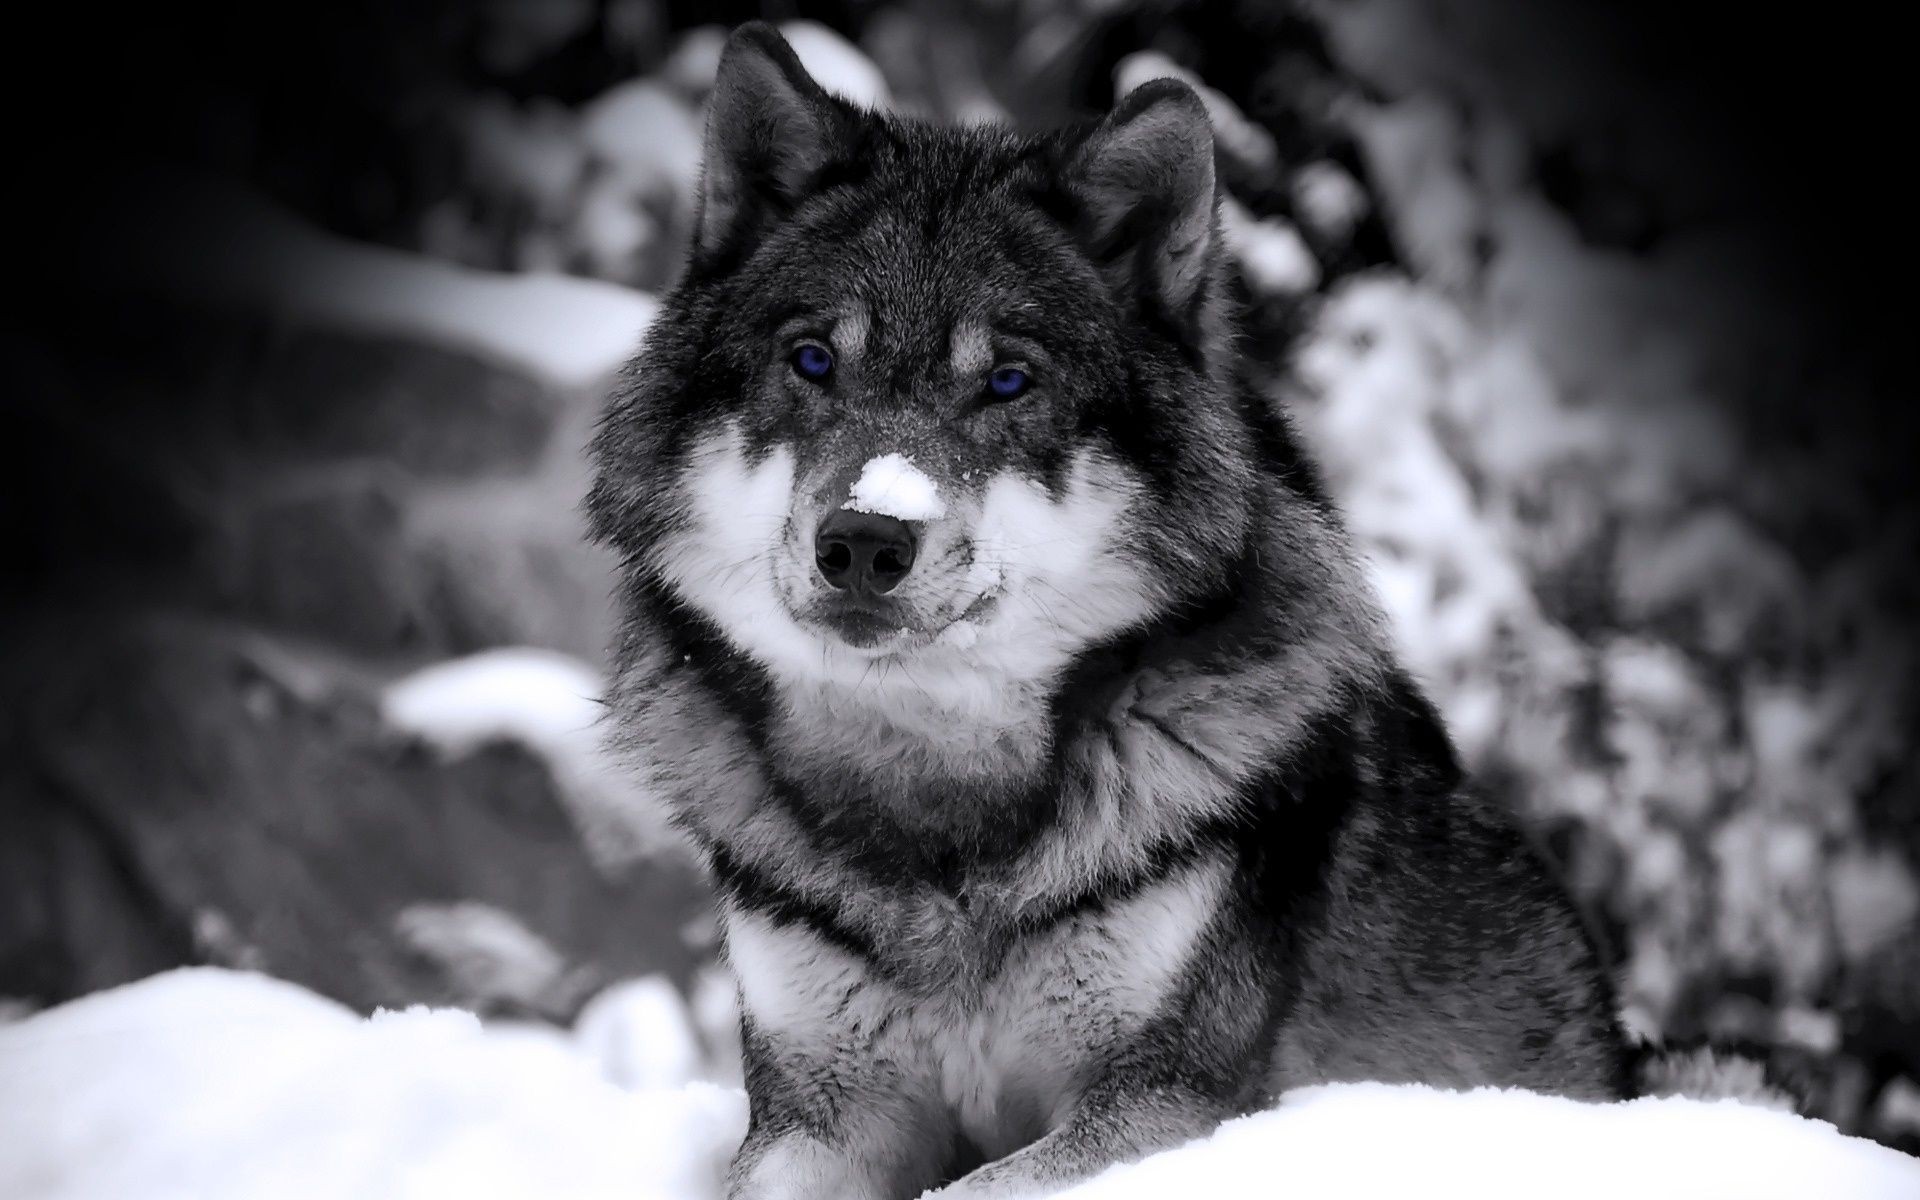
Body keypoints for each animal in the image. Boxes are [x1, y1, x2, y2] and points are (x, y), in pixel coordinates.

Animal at [587, 21, 1635, 1198]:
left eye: (1007, 381)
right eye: (813, 361)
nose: (864, 539)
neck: (937, 816)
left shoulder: (1162, 1104)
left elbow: (976, 1189)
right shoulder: (817, 1114)